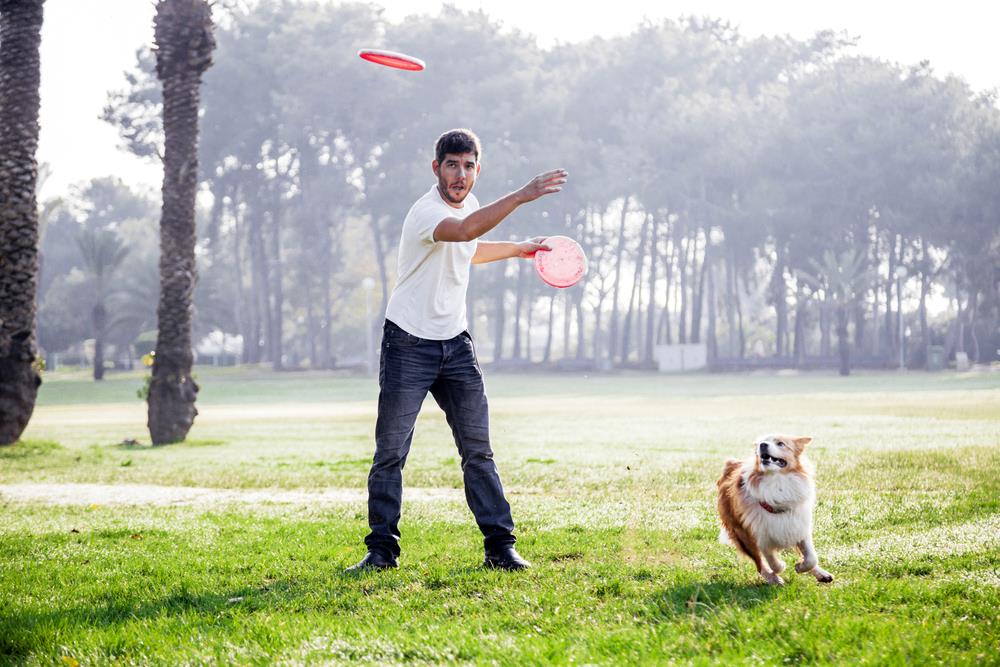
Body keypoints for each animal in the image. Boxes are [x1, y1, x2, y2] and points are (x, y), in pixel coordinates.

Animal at [720, 434, 836, 584]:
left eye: (780, 443)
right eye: (760, 443)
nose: (762, 445)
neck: (776, 480)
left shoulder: (799, 526)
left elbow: (811, 557)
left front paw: (800, 567)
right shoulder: (759, 534)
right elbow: (771, 560)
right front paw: (780, 567)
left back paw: (821, 573)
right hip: (741, 534)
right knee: (759, 563)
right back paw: (772, 578)